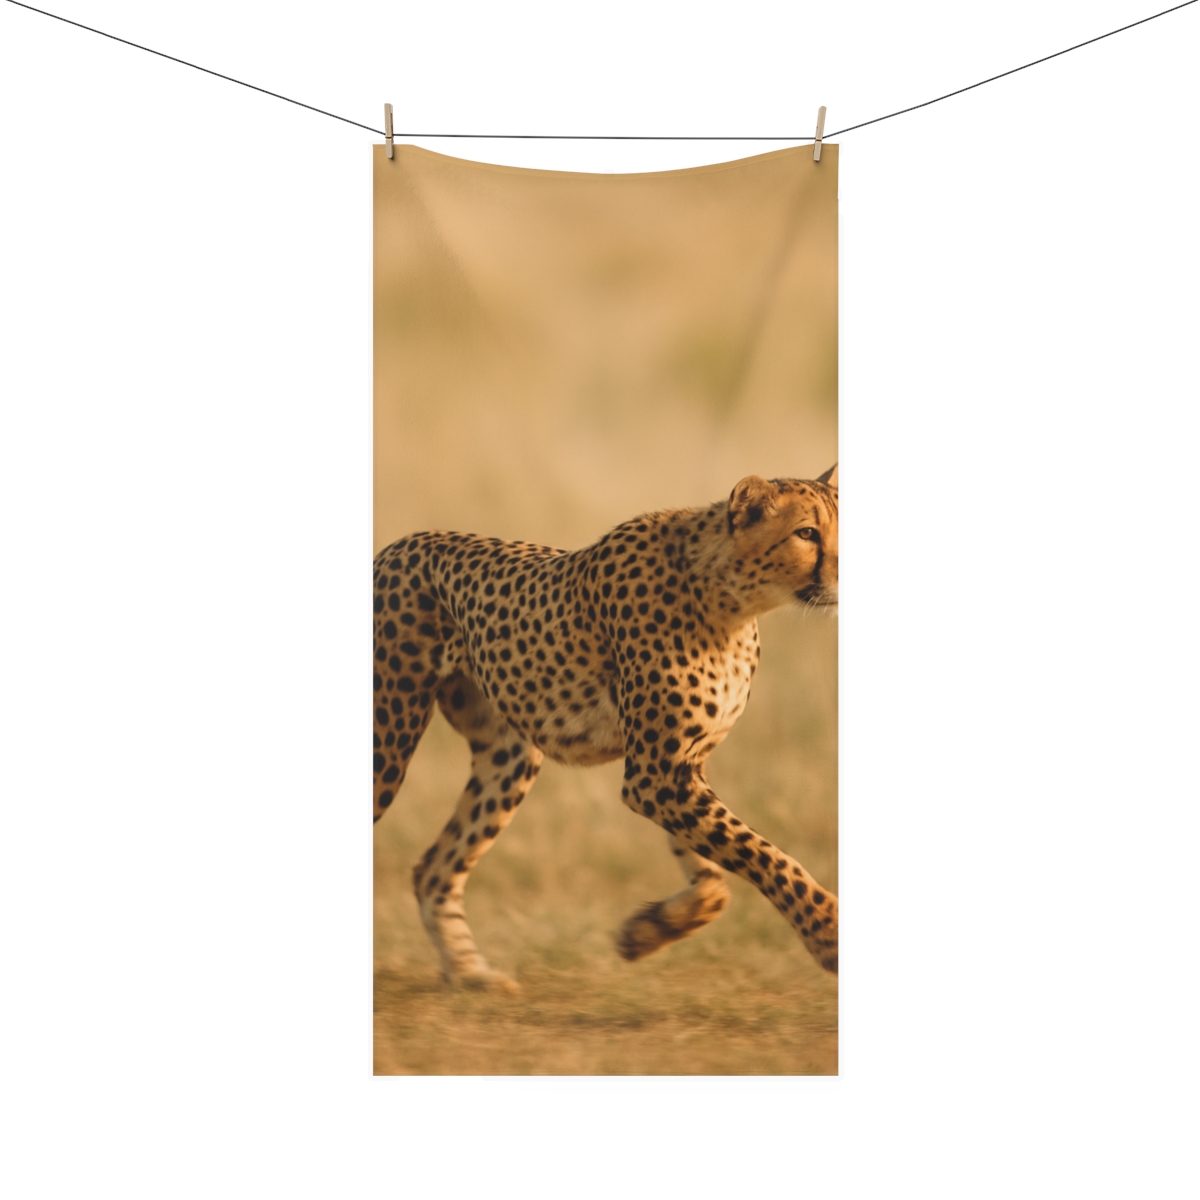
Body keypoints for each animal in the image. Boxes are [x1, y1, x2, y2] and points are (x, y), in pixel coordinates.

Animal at [373, 468, 839, 991]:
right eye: (807, 533)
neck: (731, 600)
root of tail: (399, 544)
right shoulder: (656, 776)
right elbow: (766, 855)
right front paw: (829, 931)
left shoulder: (678, 768)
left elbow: (716, 877)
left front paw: (644, 933)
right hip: (387, 744)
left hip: (509, 758)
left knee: (433, 868)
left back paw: (470, 974)